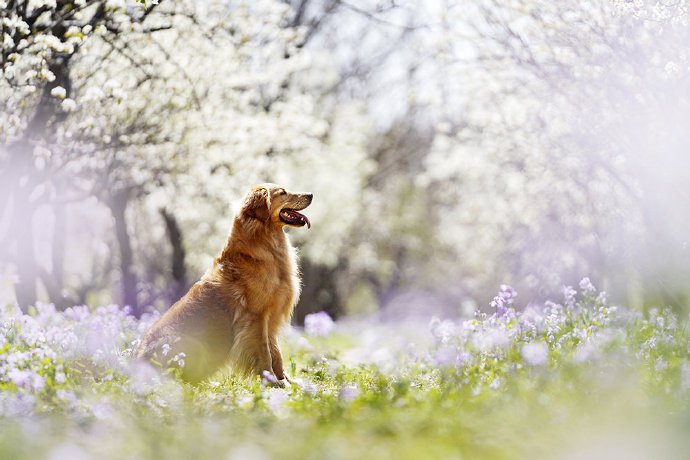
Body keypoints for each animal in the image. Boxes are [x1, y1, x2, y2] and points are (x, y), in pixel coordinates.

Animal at [134, 183, 312, 384]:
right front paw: (271, 381)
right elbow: (265, 353)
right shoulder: (256, 317)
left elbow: (277, 353)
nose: (311, 195)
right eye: (283, 193)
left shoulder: (271, 319)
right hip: (195, 346)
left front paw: (286, 381)